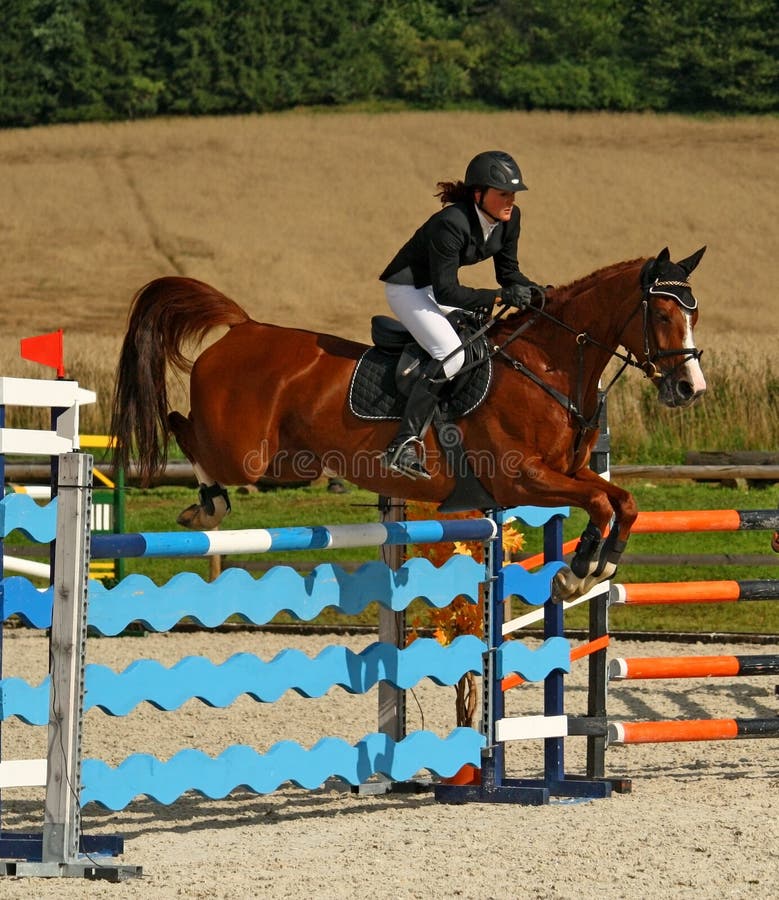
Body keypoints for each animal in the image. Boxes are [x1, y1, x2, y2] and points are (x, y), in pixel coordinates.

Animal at [110, 246, 707, 602]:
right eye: (661, 314)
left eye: (693, 313)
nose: (690, 389)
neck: (547, 365)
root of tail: (242, 327)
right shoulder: (522, 479)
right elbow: (603, 502)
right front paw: (578, 571)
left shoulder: (566, 472)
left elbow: (622, 500)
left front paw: (595, 568)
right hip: (244, 452)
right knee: (180, 425)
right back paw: (206, 505)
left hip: (292, 462)